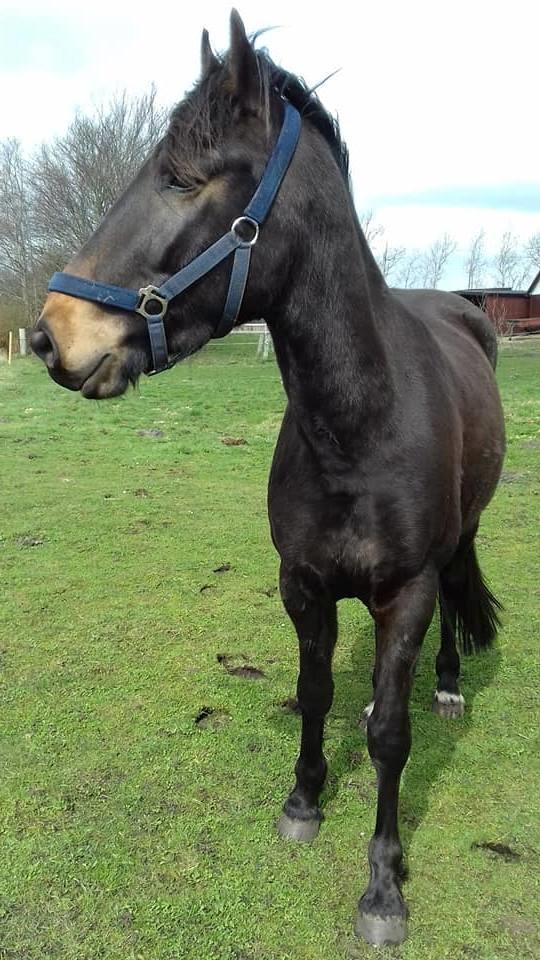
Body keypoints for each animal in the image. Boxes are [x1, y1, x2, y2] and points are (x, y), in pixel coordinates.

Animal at [31, 10, 505, 946]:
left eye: (183, 179)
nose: (50, 334)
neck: (358, 429)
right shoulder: (303, 585)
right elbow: (314, 692)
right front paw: (303, 802)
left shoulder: (406, 593)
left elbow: (392, 741)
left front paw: (383, 887)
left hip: (457, 545)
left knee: (447, 614)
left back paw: (446, 686)